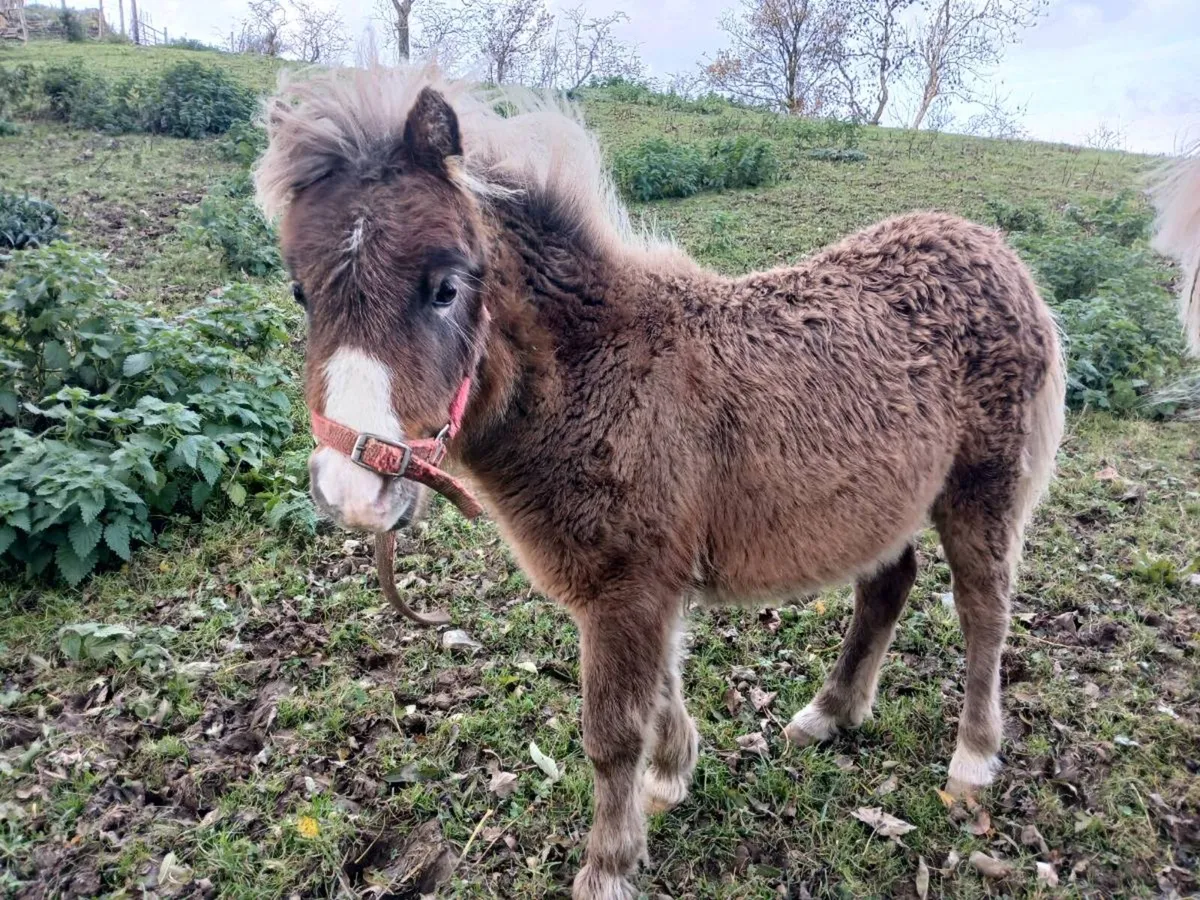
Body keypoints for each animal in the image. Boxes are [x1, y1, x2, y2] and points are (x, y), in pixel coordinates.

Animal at [256, 64, 1081, 899]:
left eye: (446, 288)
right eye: (300, 292)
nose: (351, 492)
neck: (597, 374)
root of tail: (1001, 256)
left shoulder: (628, 590)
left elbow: (612, 733)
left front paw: (609, 865)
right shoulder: (644, 586)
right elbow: (661, 689)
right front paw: (671, 776)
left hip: (981, 489)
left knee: (984, 608)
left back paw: (971, 760)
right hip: (881, 502)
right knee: (888, 584)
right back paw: (828, 713)